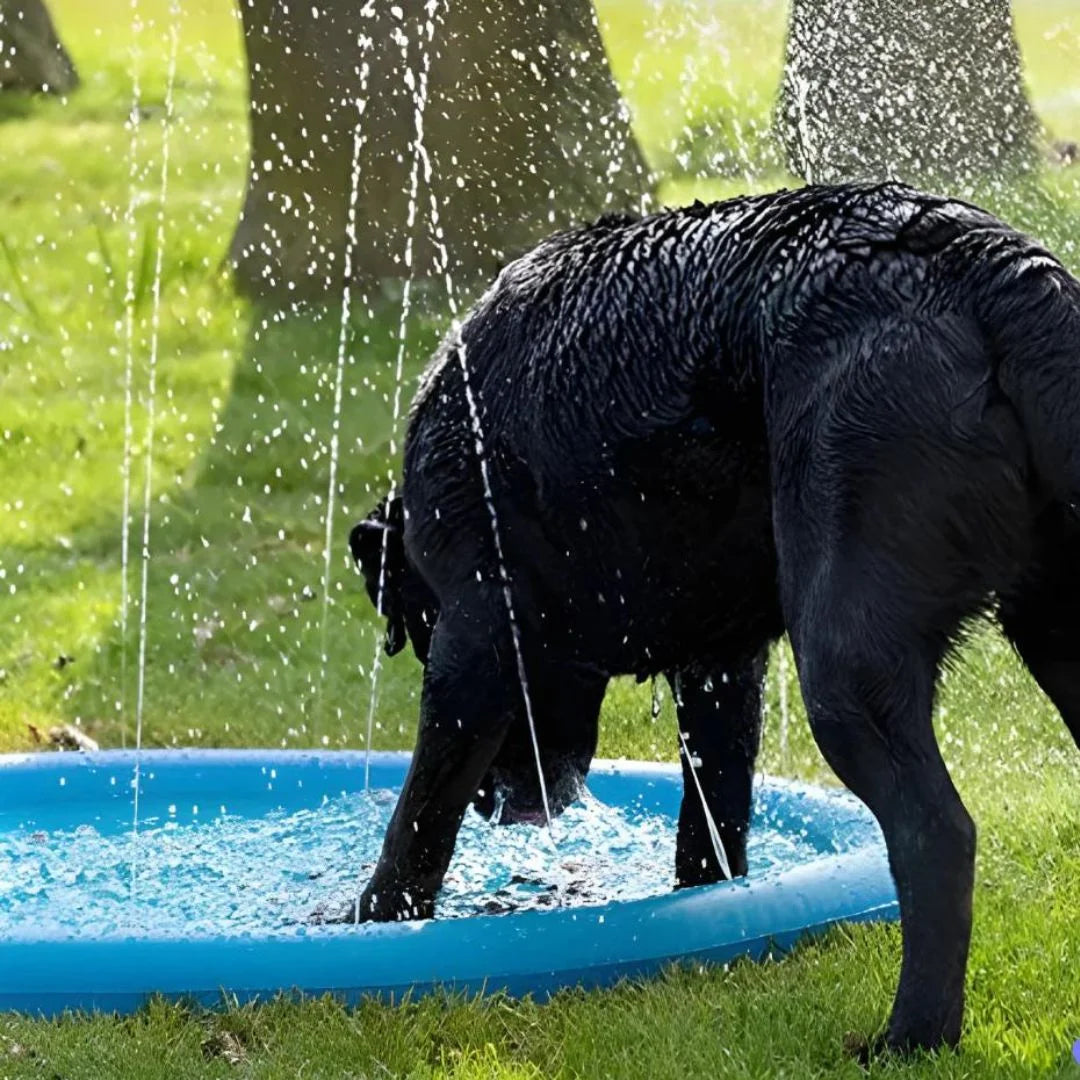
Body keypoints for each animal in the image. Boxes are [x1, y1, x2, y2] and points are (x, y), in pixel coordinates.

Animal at [347, 183, 1080, 1054]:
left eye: (416, 633)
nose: (505, 804)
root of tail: (987, 263)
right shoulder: (721, 665)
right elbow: (711, 820)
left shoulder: (476, 638)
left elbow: (420, 817)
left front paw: (362, 921)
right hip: (1062, 627)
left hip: (847, 662)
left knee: (936, 833)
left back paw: (910, 1036)